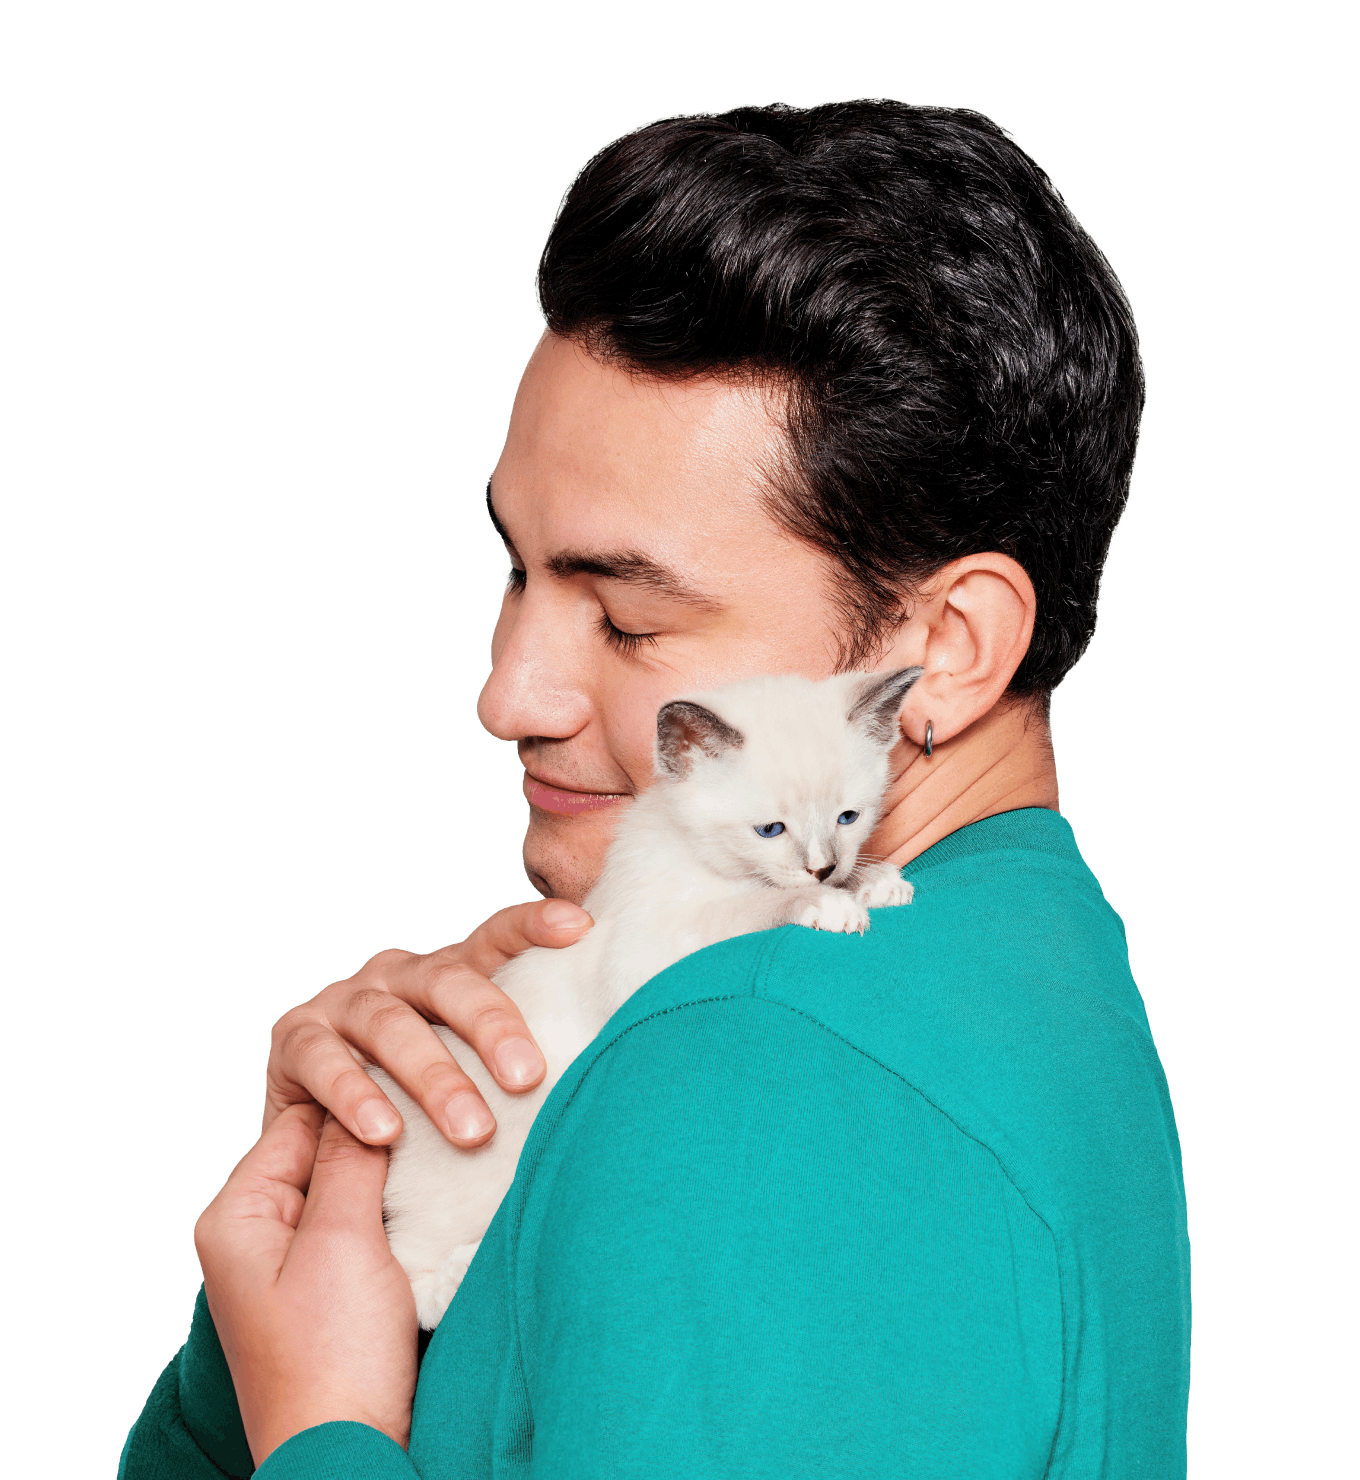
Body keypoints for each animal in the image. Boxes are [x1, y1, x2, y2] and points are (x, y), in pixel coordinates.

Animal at [372, 671, 923, 1332]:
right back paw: (454, 1281)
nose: (821, 868)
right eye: (770, 831)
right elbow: (752, 905)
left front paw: (876, 882)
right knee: (409, 1273)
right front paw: (826, 905)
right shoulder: (648, 952)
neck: (699, 857)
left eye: (848, 817)